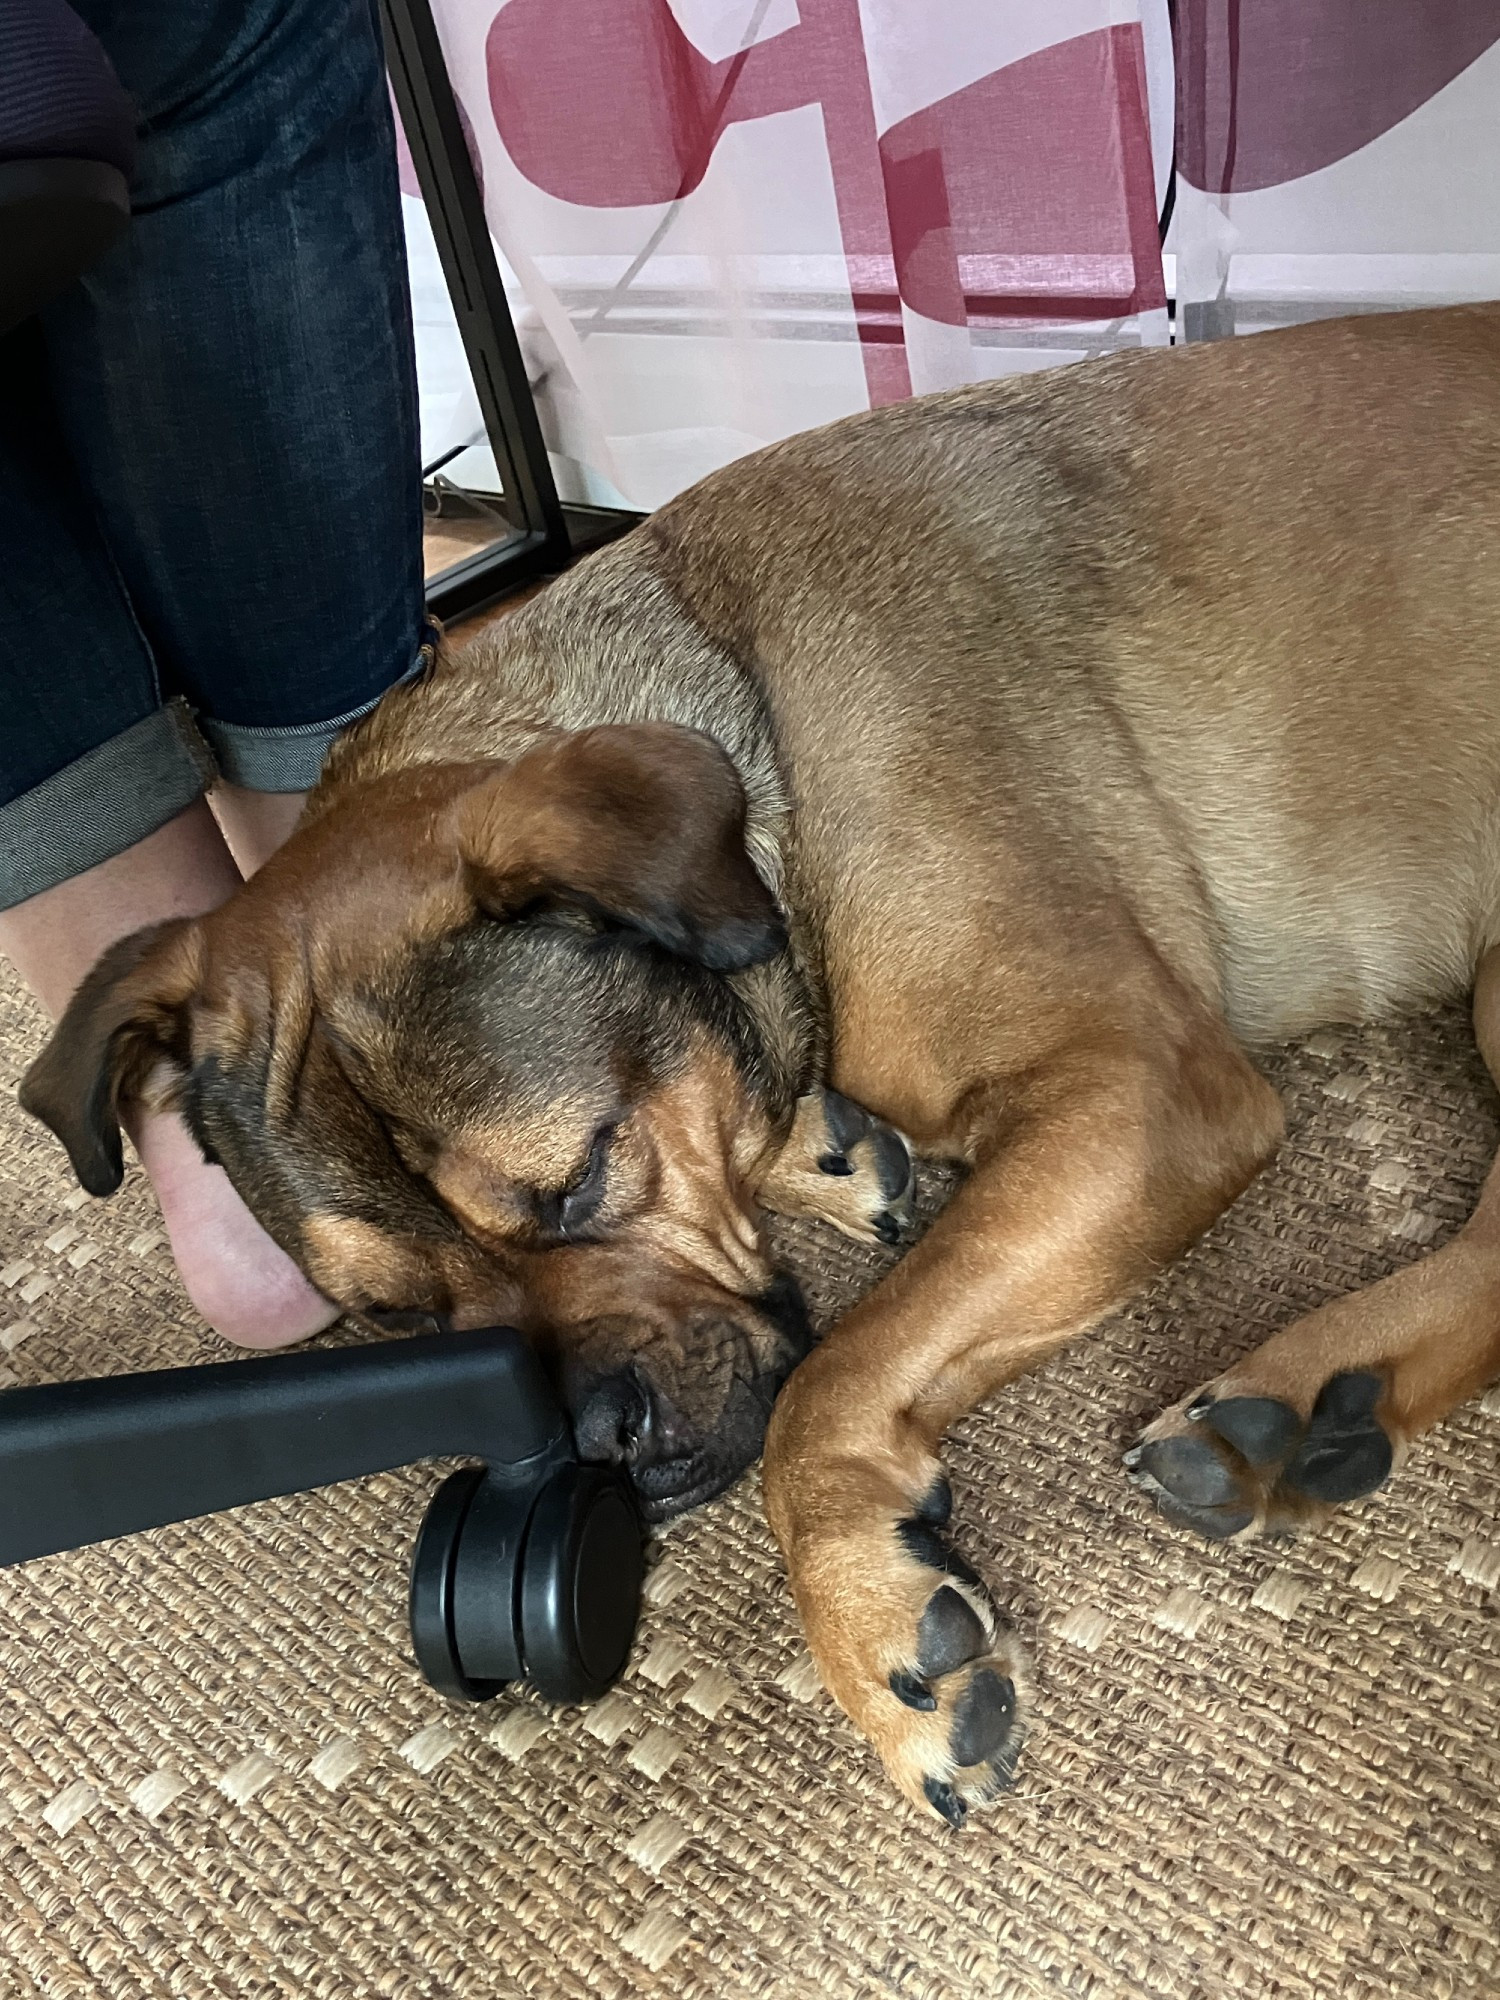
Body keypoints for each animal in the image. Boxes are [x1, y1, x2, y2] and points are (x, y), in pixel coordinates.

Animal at [20, 300, 1500, 1832]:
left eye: (580, 1177)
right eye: (388, 1319)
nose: (592, 1447)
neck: (755, 737)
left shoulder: (1143, 1090)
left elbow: (827, 1379)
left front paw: (862, 1606)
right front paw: (828, 1153)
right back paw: (1300, 1418)